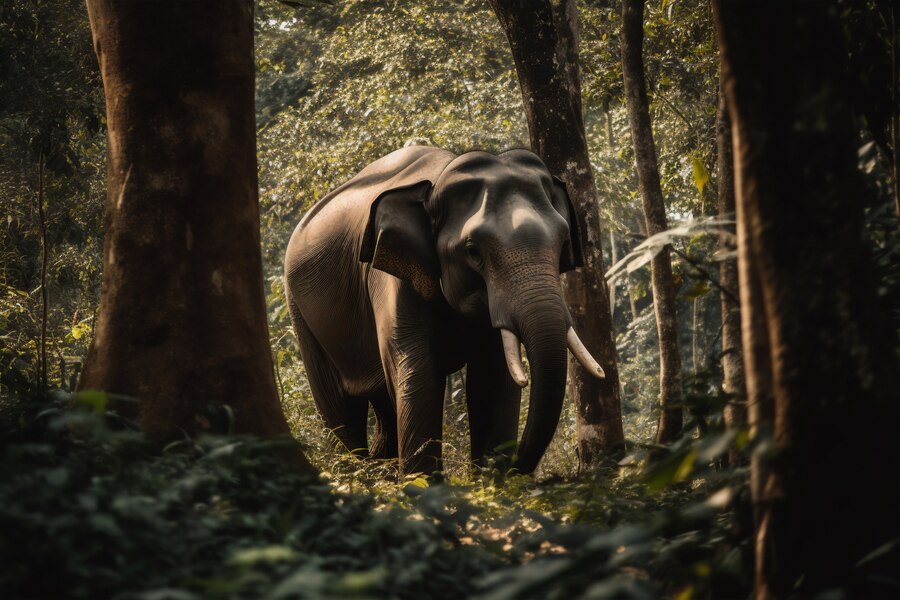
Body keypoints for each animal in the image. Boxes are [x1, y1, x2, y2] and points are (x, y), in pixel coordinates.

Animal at [284, 144, 604, 474]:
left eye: (563, 241)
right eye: (473, 250)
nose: (517, 465)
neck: (436, 182)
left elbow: (494, 378)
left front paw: (492, 479)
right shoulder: (391, 281)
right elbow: (417, 375)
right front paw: (424, 483)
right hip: (300, 312)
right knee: (339, 408)